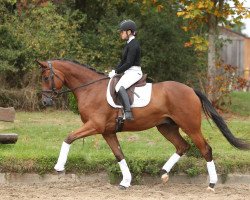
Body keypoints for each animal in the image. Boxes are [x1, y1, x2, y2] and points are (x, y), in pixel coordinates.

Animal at [37, 59, 250, 191]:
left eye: (47, 78)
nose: (45, 102)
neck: (91, 88)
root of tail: (190, 89)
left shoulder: (95, 126)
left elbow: (69, 137)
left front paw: (59, 167)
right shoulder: (107, 132)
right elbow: (119, 154)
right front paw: (125, 182)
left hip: (190, 126)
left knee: (205, 149)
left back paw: (212, 184)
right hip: (166, 127)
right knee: (183, 146)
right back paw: (163, 173)